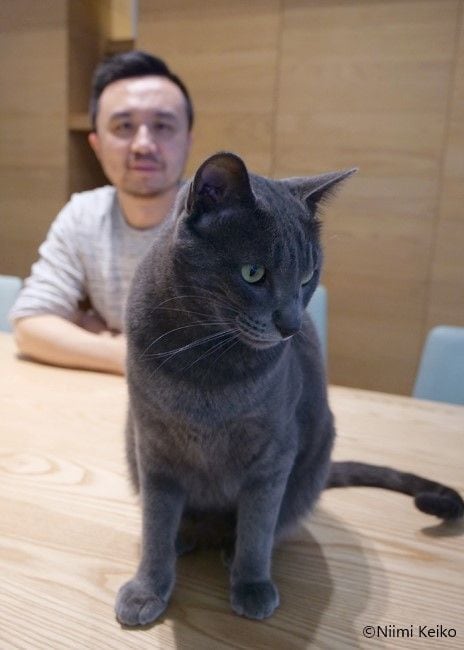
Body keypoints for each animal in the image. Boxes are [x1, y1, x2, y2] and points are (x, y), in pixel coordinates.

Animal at [115, 152, 463, 626]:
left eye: (307, 277)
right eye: (253, 273)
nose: (292, 326)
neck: (205, 364)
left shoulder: (274, 455)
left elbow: (258, 528)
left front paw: (251, 584)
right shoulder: (153, 448)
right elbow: (155, 526)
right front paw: (147, 589)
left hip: (311, 461)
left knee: (270, 525)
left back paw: (227, 549)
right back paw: (185, 537)